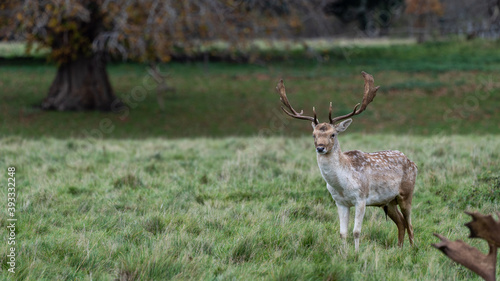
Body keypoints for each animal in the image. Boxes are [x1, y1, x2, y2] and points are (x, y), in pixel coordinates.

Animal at [278, 71, 418, 250]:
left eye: (333, 134)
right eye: (314, 135)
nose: (320, 148)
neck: (342, 184)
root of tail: (412, 162)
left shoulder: (361, 198)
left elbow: (356, 232)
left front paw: (356, 253)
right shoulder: (340, 202)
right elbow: (342, 233)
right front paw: (343, 253)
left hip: (407, 193)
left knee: (410, 224)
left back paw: (413, 249)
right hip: (388, 201)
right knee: (401, 222)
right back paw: (399, 248)